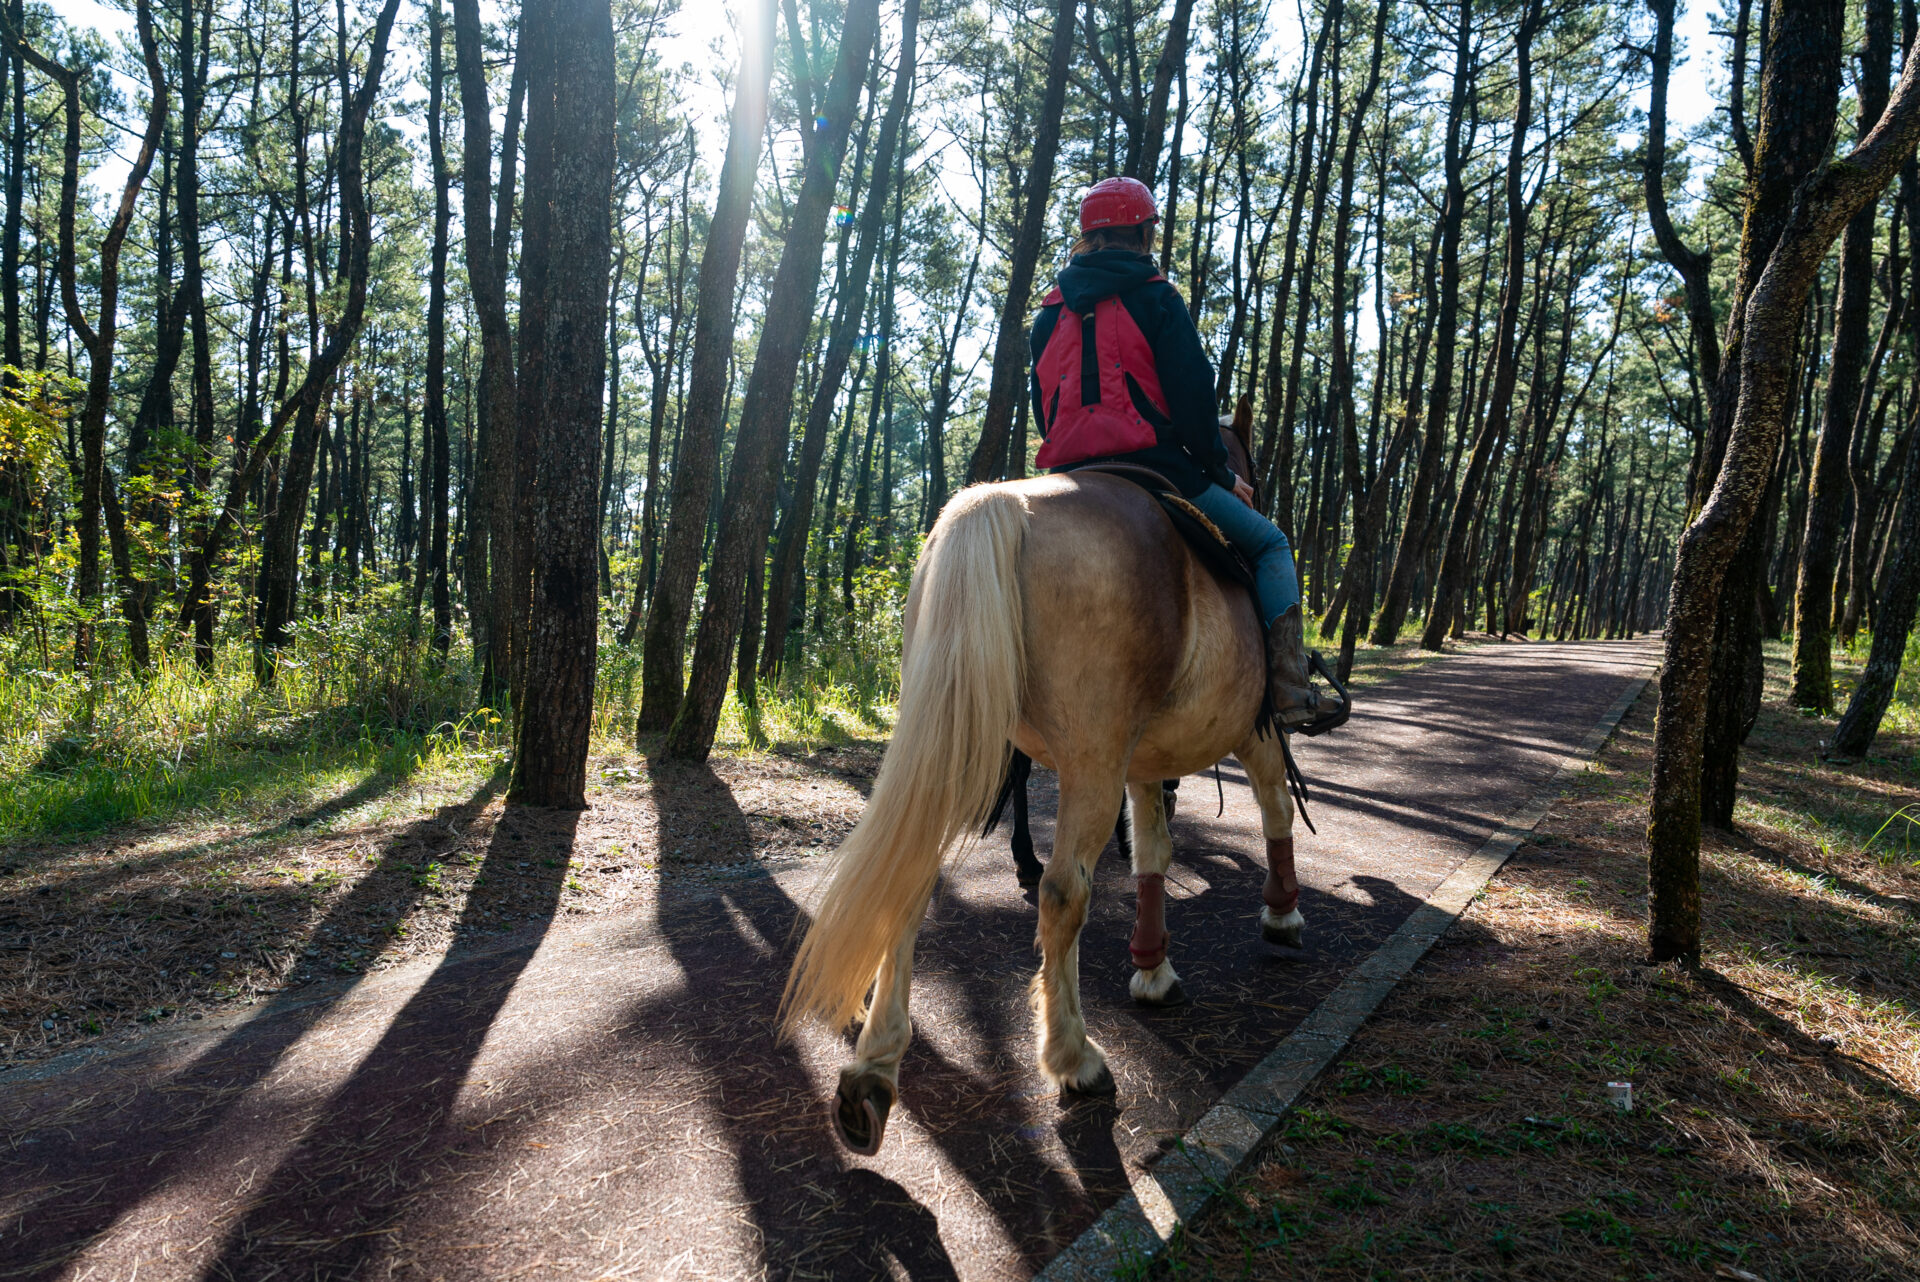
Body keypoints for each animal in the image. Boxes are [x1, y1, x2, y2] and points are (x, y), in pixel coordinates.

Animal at [780, 398, 1344, 1156]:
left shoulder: (1142, 762)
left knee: (913, 875)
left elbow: (1154, 854)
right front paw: (1282, 912)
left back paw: (872, 1070)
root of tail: (1002, 504)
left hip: (970, 740)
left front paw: (1152, 965)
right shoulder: (1254, 733)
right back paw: (1075, 1058)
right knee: (1061, 893)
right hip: (1087, 762)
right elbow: (1275, 809)